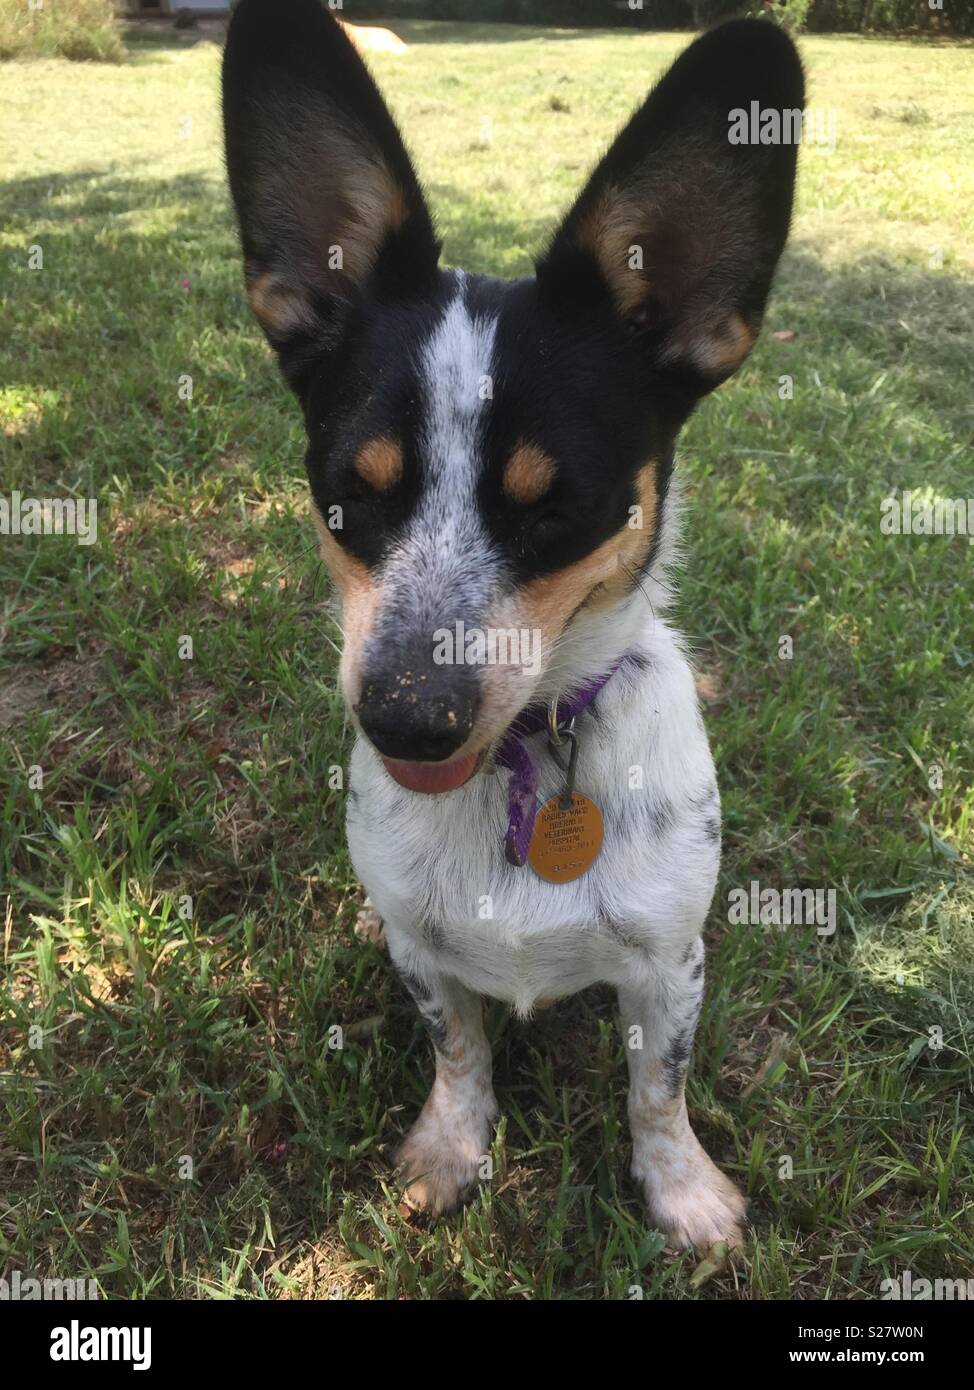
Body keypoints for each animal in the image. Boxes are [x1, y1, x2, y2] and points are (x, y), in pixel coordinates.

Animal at [223, 0, 800, 1256]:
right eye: (348, 491)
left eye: (558, 506)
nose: (406, 719)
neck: (523, 763)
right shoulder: (417, 949)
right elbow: (459, 1052)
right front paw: (451, 1147)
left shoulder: (668, 967)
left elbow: (656, 1091)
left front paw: (681, 1190)